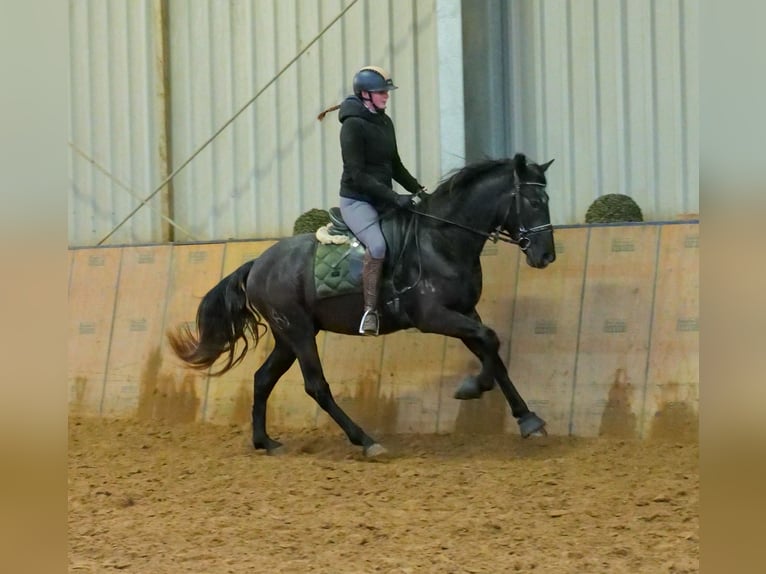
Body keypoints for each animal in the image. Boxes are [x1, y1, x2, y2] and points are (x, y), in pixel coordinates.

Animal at [168, 153, 556, 460]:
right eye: (534, 202)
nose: (546, 256)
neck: (442, 239)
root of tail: (258, 263)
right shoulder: (434, 317)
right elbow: (490, 340)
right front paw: (472, 387)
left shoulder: (463, 312)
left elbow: (492, 351)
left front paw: (528, 419)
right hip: (298, 331)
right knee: (316, 386)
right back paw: (366, 441)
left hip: (287, 337)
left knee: (263, 379)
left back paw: (265, 442)